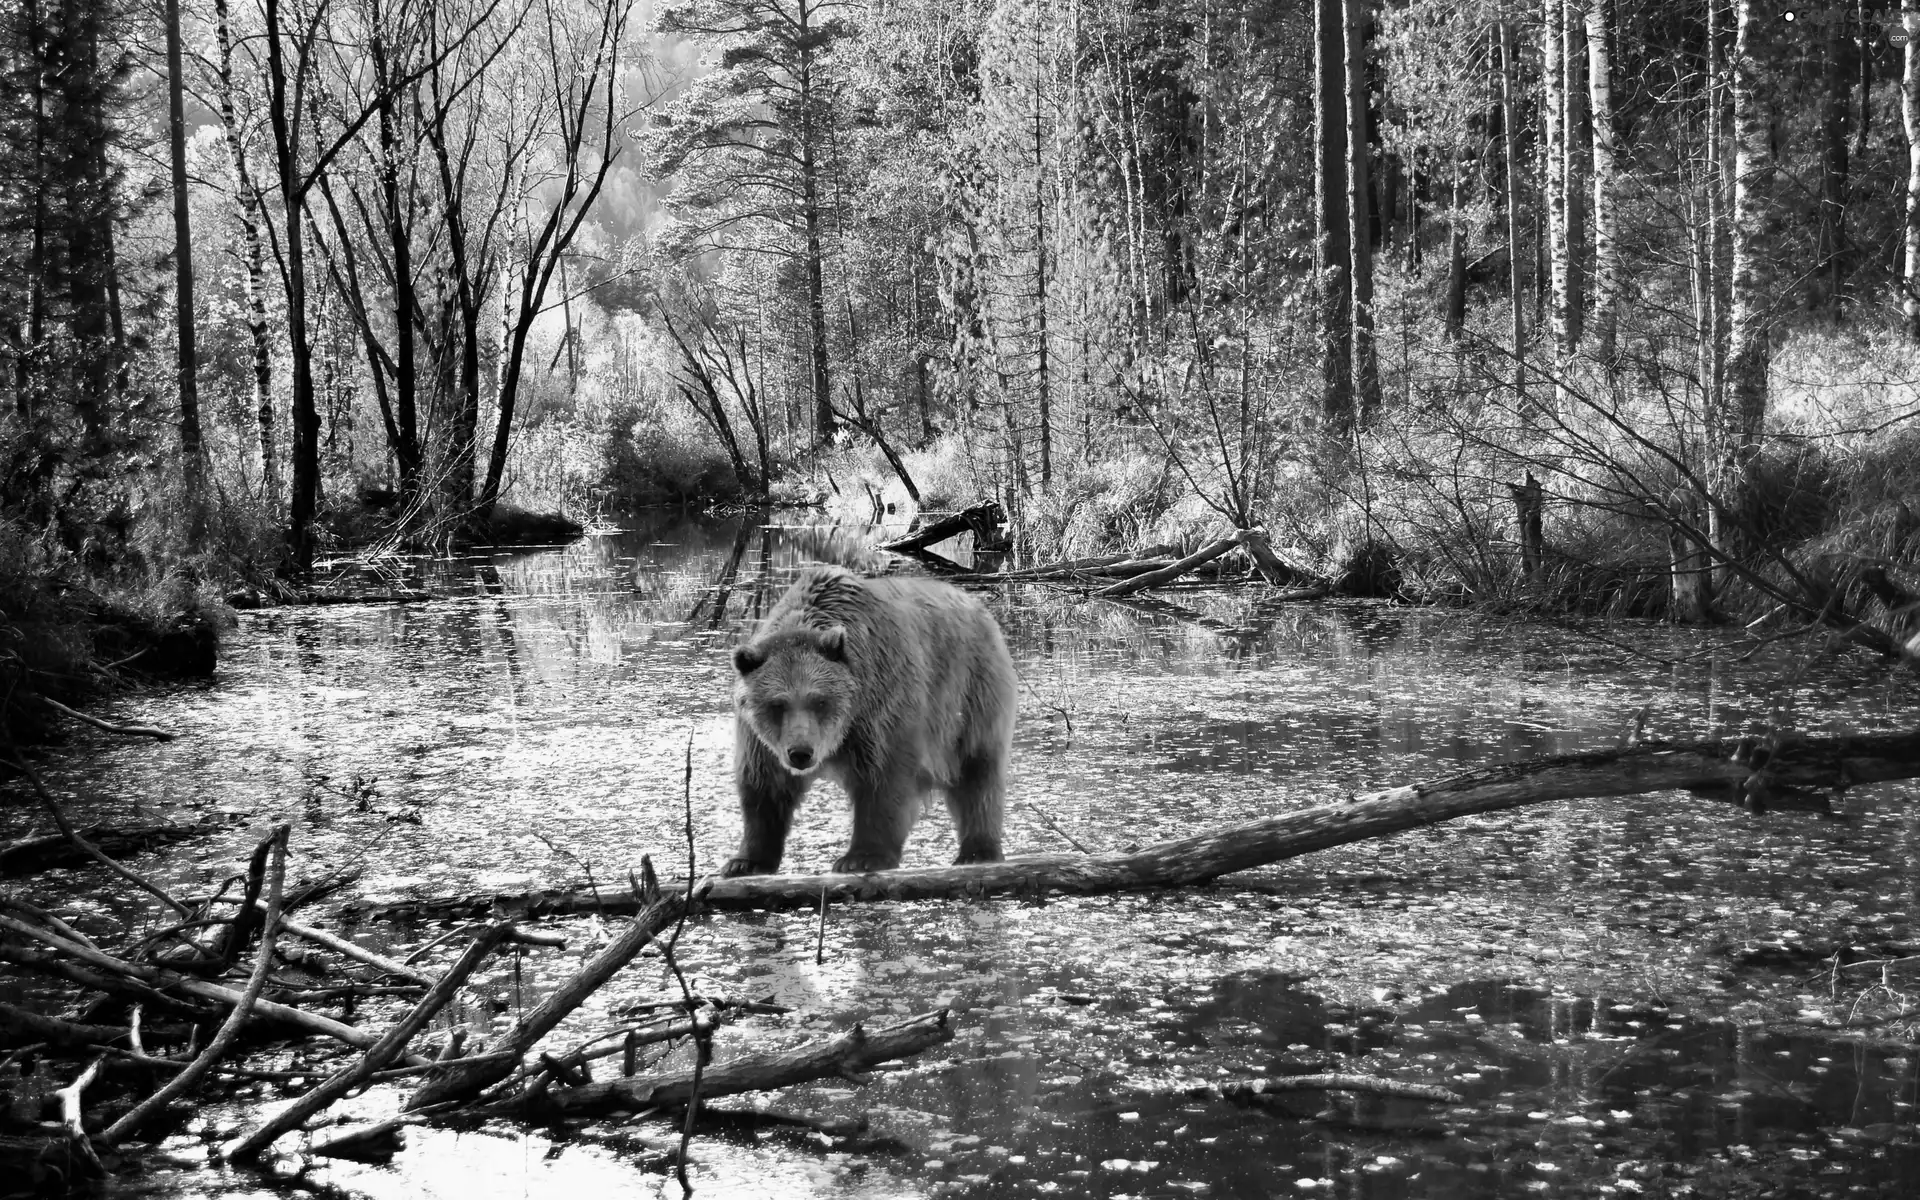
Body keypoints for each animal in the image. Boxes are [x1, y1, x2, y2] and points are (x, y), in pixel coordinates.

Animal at [721, 560, 1021, 871]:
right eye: (777, 704)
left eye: (820, 701)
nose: (801, 753)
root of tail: (977, 604)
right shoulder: (761, 739)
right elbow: (764, 788)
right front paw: (745, 861)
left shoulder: (880, 703)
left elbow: (884, 779)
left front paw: (861, 857)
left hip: (971, 693)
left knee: (978, 773)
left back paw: (978, 850)